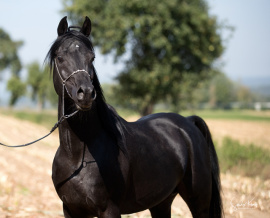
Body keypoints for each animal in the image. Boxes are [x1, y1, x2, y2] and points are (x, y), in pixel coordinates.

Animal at [46, 16, 223, 217]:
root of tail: (188, 122)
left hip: (199, 204)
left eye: (92, 58)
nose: (86, 94)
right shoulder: (70, 210)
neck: (78, 157)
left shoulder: (110, 210)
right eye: (60, 58)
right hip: (161, 202)